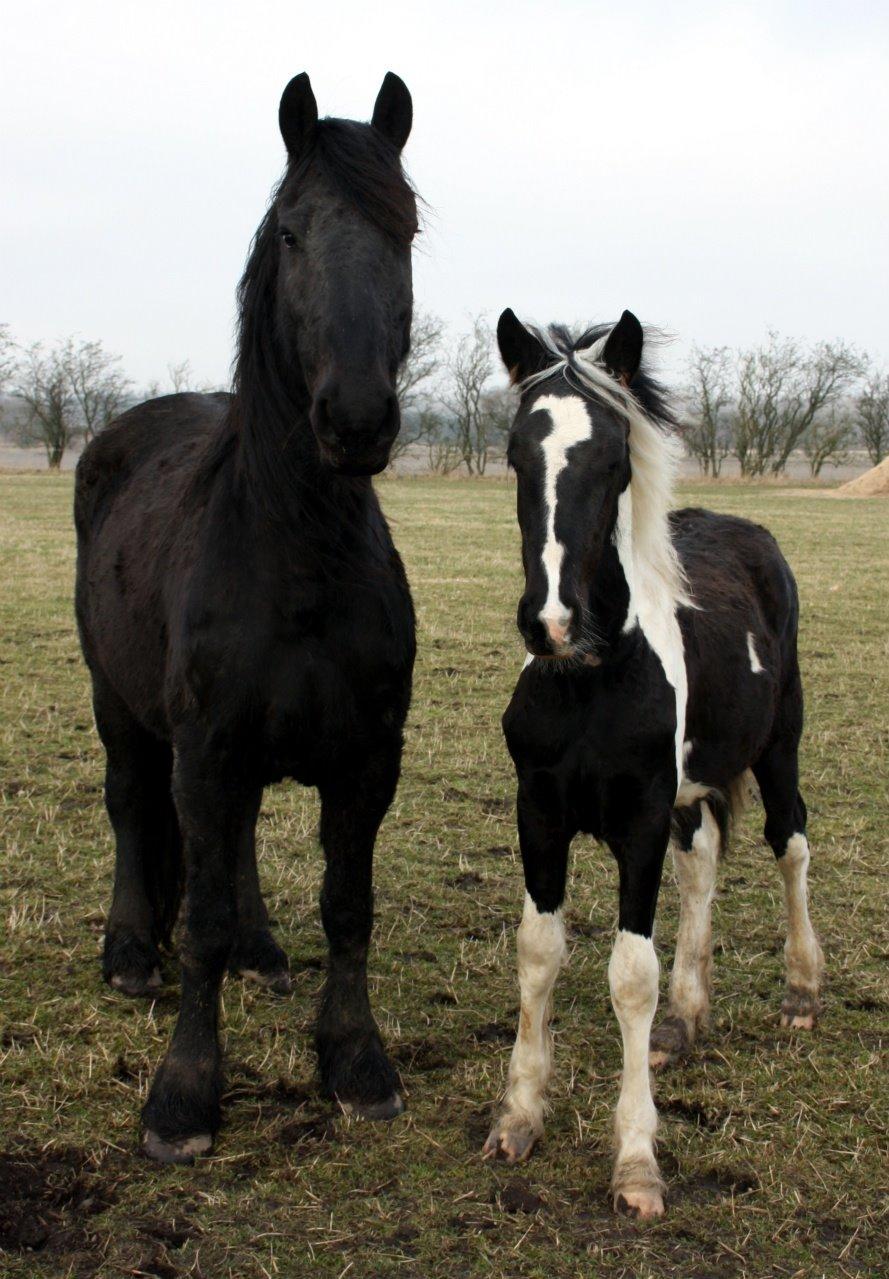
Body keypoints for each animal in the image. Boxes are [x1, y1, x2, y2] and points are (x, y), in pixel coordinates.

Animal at [74, 74, 419, 1166]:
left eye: (403, 232)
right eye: (293, 233)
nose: (356, 419)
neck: (295, 552)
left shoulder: (365, 755)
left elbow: (346, 904)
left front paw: (355, 1061)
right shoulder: (202, 748)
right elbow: (203, 920)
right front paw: (184, 1093)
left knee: (242, 841)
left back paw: (265, 954)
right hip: (120, 707)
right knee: (133, 810)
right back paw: (128, 952)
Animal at [483, 309, 823, 1217]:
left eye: (612, 458)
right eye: (516, 452)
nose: (551, 621)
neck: (592, 678)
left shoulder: (636, 817)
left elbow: (629, 970)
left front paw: (635, 1160)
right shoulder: (539, 809)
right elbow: (539, 950)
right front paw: (519, 1114)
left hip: (778, 747)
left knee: (790, 845)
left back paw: (801, 990)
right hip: (689, 791)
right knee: (702, 864)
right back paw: (683, 1020)